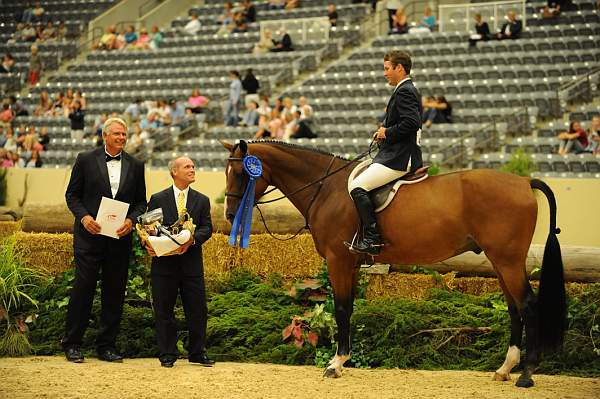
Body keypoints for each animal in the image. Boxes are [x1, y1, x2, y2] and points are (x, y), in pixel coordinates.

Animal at [223, 140, 564, 388]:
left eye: (241, 174)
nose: (229, 214)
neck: (326, 188)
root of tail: (523, 181)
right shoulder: (351, 264)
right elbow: (350, 309)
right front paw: (343, 361)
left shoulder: (338, 260)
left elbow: (342, 309)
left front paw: (335, 364)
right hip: (500, 260)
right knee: (514, 308)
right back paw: (505, 369)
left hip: (507, 260)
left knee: (528, 305)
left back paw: (526, 375)